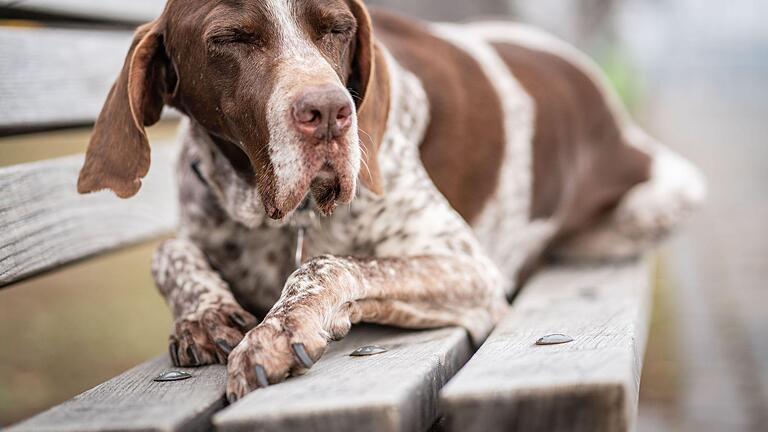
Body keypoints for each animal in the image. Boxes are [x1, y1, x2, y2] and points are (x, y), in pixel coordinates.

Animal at [75, 0, 704, 402]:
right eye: (230, 39)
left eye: (338, 28)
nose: (329, 112)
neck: (267, 210)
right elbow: (168, 252)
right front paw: (203, 313)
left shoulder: (469, 269)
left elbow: (329, 265)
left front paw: (280, 327)